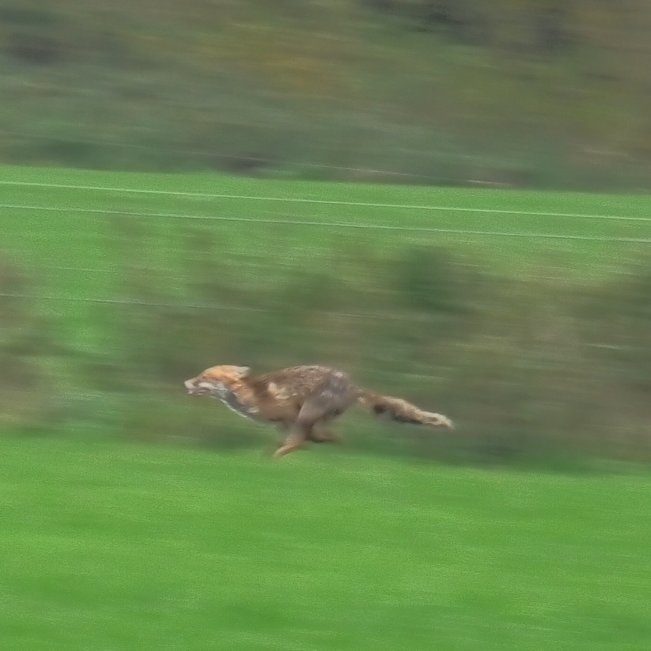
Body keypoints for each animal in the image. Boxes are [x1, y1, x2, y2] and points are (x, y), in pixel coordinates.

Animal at [184, 364, 453, 458]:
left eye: (204, 377)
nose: (186, 383)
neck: (249, 397)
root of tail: (354, 387)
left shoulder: (292, 417)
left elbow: (294, 442)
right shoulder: (284, 423)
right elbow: (296, 440)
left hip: (308, 412)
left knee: (307, 440)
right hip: (312, 417)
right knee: (326, 437)